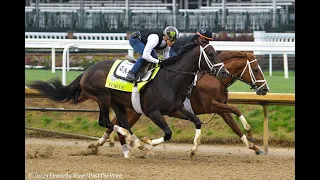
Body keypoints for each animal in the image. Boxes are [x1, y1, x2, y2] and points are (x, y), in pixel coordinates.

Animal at [26, 38, 228, 158]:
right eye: (211, 54)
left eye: (217, 52)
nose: (224, 72)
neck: (170, 78)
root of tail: (86, 71)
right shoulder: (152, 112)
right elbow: (168, 133)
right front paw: (148, 143)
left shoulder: (175, 110)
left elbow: (197, 122)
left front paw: (193, 150)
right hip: (103, 97)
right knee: (107, 122)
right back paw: (136, 143)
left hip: (118, 103)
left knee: (121, 123)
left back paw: (130, 145)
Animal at [89, 51, 268, 155]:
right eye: (256, 70)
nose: (265, 89)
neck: (216, 78)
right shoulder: (212, 105)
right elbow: (236, 109)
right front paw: (249, 131)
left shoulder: (220, 109)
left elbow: (235, 127)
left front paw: (254, 147)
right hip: (135, 111)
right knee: (116, 124)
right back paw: (104, 144)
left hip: (135, 111)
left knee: (115, 123)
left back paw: (100, 144)